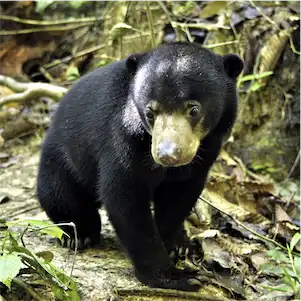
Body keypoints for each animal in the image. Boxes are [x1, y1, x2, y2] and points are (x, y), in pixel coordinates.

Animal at [37, 41, 244, 290]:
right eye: (150, 112)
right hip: (62, 161)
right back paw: (81, 234)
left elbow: (179, 196)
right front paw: (177, 276)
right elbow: (126, 201)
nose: (167, 155)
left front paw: (174, 245)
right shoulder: (123, 139)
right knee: (59, 195)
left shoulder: (206, 151)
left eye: (193, 109)